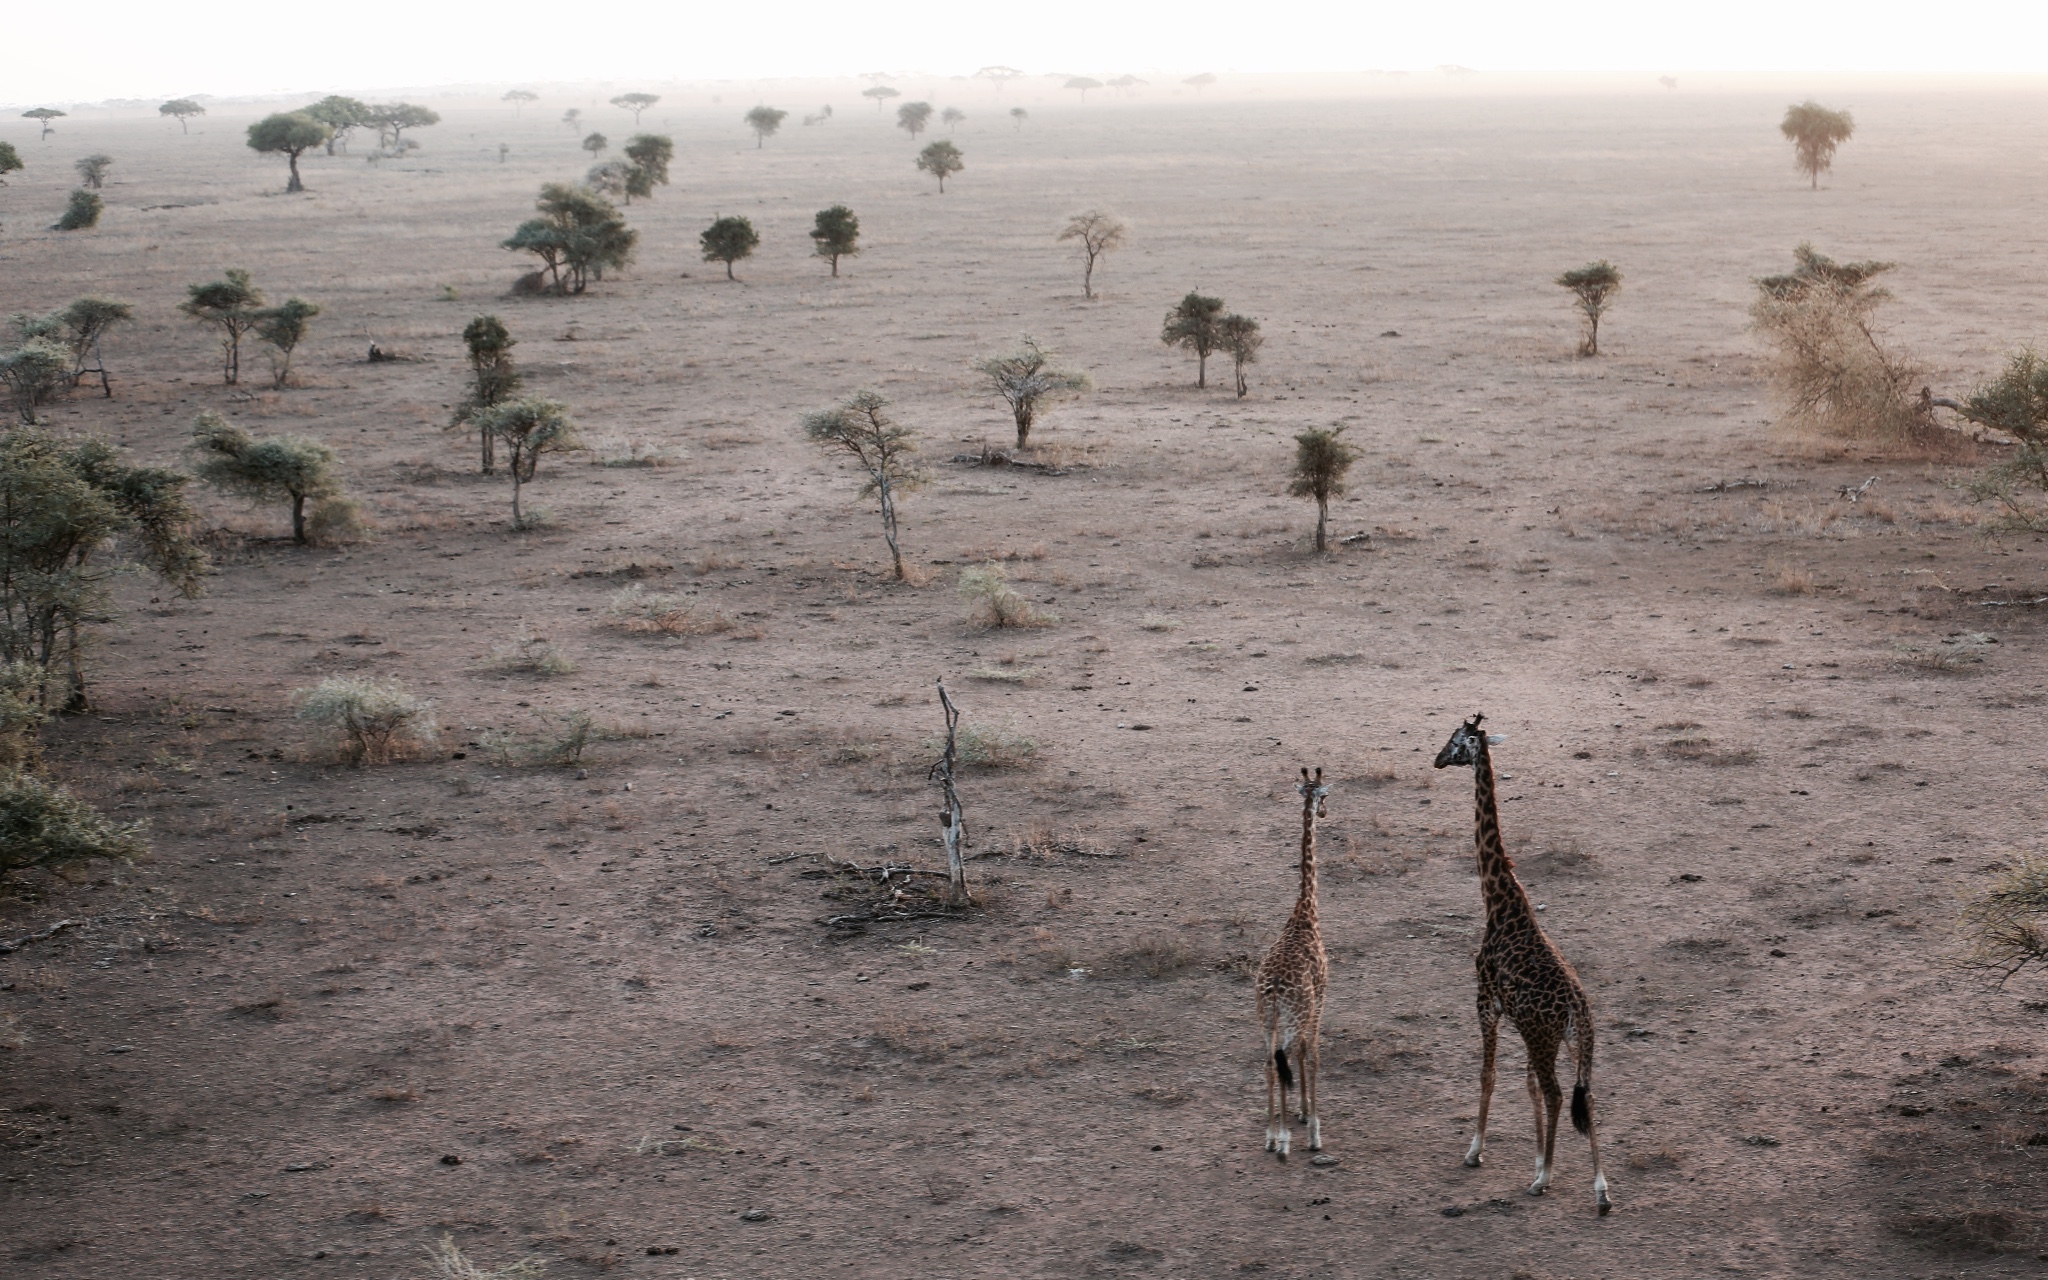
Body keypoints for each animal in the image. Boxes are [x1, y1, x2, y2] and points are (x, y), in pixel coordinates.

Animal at [1433, 712, 1605, 1212]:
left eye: (1456, 741)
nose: (1436, 759)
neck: (1498, 900)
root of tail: (1576, 1008)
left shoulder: (1486, 1000)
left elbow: (1488, 1075)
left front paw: (1476, 1151)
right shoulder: (1517, 1019)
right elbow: (1524, 1087)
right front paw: (1536, 1158)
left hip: (1544, 1037)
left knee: (1557, 1093)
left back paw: (1545, 1179)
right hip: (1573, 1041)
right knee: (1586, 1096)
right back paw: (1601, 1189)